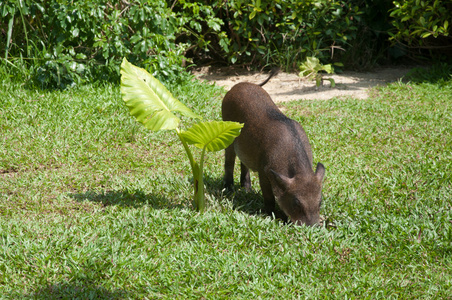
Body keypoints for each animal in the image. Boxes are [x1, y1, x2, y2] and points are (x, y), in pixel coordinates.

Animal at [220, 70, 324, 225]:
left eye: (320, 202)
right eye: (296, 203)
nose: (313, 227)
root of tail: (236, 86)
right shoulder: (264, 173)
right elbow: (269, 198)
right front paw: (271, 215)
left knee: (243, 163)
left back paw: (247, 190)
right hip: (228, 137)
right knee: (229, 161)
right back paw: (228, 188)